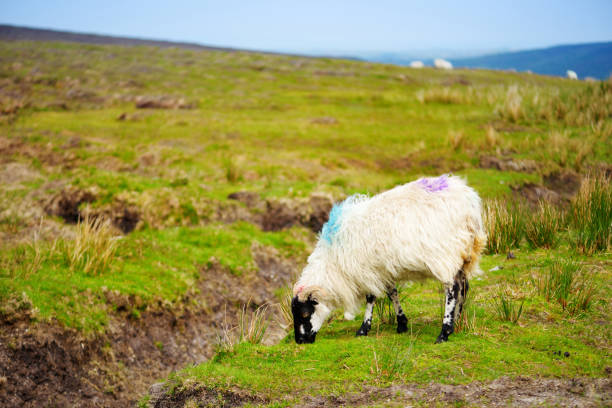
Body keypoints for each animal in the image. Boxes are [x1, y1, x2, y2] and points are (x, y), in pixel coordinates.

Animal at [290, 175, 486, 344]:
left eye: (305, 314)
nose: (300, 341)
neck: (334, 262)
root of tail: (469, 205)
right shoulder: (383, 269)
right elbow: (392, 293)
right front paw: (402, 323)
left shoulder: (368, 270)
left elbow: (371, 298)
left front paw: (363, 329)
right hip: (464, 254)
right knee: (464, 286)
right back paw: (457, 320)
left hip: (446, 254)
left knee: (452, 289)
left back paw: (444, 332)